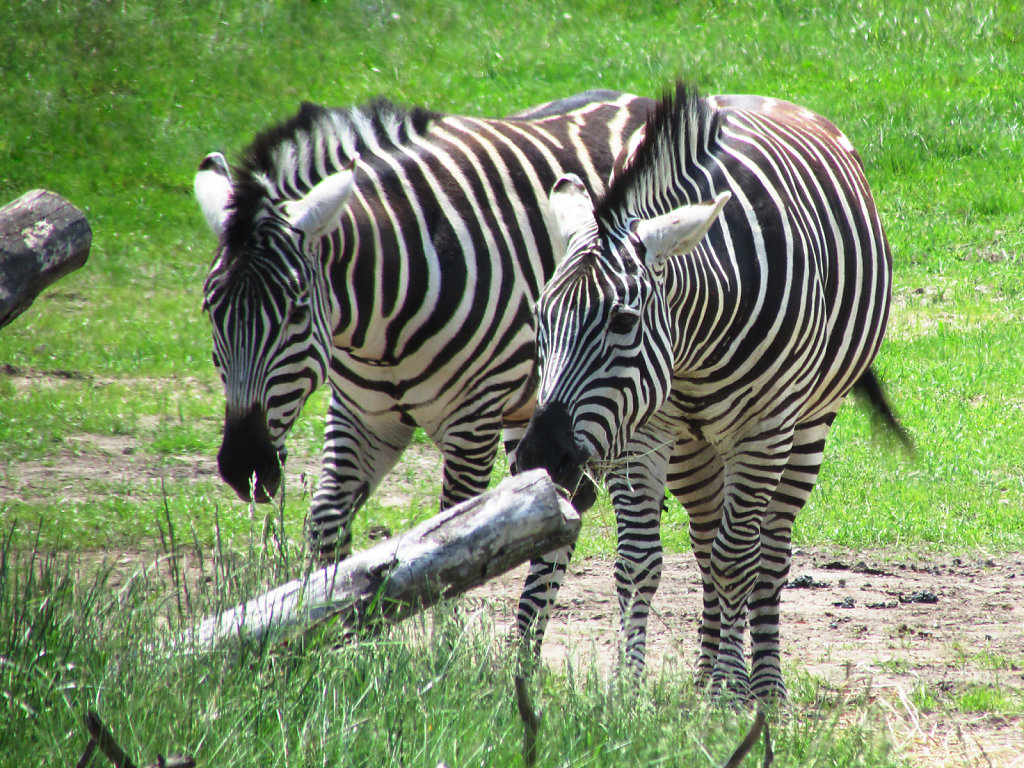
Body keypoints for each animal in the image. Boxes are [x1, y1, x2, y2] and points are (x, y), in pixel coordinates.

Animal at [194, 93, 651, 565]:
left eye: (298, 312)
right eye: (211, 310)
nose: (245, 469)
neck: (379, 328)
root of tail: (633, 99)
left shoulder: (472, 424)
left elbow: (455, 534)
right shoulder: (362, 418)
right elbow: (325, 529)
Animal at [516, 82, 909, 704]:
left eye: (623, 321)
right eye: (541, 318)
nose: (540, 457)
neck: (694, 340)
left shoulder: (763, 433)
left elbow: (736, 562)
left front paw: (730, 688)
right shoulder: (642, 432)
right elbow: (640, 563)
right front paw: (631, 687)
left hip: (807, 427)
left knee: (767, 553)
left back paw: (763, 683)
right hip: (691, 446)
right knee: (704, 541)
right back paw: (706, 673)